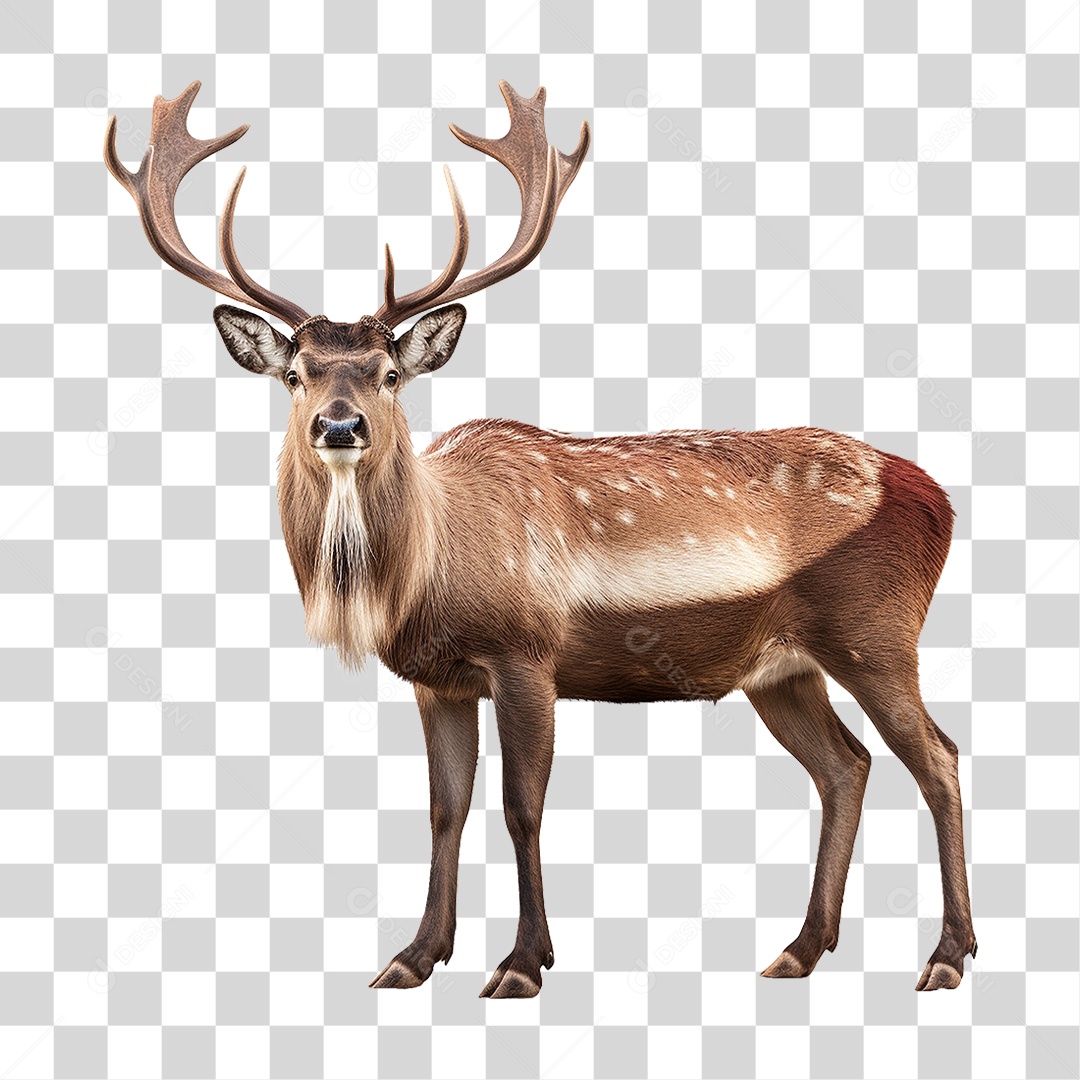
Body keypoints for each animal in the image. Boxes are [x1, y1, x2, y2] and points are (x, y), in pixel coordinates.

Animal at [105, 79, 976, 998]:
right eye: (297, 372)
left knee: (938, 757)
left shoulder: (526, 653)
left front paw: (523, 963)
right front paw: (412, 956)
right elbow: (444, 807)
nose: (339, 426)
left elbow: (523, 806)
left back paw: (946, 955)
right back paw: (801, 948)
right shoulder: (438, 681)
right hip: (781, 669)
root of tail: (937, 498)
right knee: (846, 767)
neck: (423, 574)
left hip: (876, 633)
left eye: (388, 373)